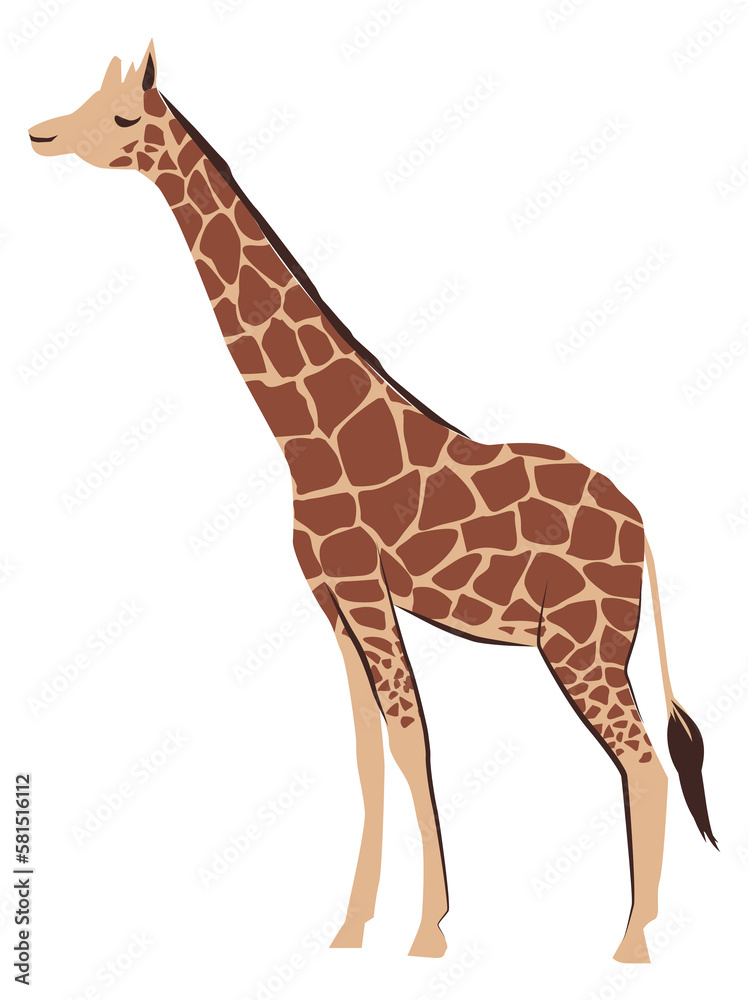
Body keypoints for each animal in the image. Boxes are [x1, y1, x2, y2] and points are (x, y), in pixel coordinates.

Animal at [29, 42, 717, 964]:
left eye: (122, 115)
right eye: (85, 101)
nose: (40, 133)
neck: (309, 435)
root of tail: (643, 526)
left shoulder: (364, 585)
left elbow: (409, 735)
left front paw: (428, 931)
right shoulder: (329, 597)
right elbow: (365, 749)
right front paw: (351, 927)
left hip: (582, 642)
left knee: (642, 761)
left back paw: (632, 943)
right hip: (594, 643)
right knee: (645, 759)